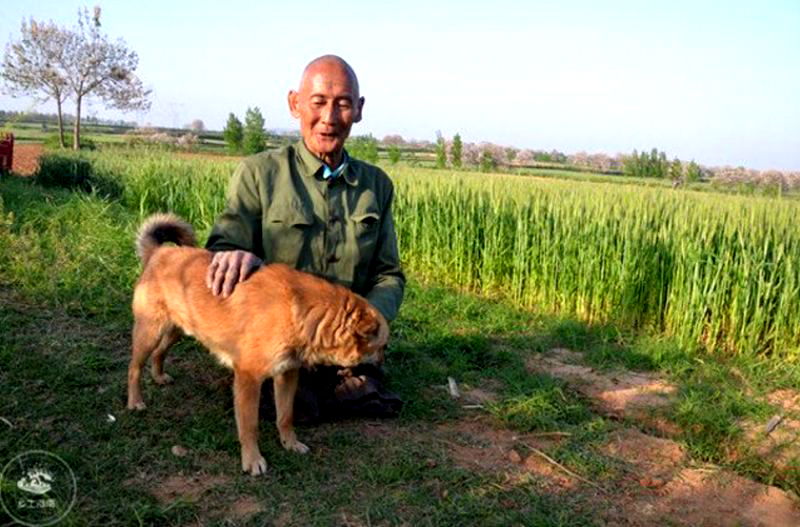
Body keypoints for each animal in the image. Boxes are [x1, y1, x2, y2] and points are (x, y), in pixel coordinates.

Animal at [128, 212, 388, 476]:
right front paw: (252, 460)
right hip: (149, 333)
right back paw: (135, 402)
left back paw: (159, 376)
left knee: (159, 353)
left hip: (177, 330)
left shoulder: (287, 375)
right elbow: (250, 426)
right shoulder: (248, 379)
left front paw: (290, 443)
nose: (382, 363)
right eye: (382, 346)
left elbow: (285, 416)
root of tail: (159, 252)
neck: (302, 312)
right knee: (134, 367)